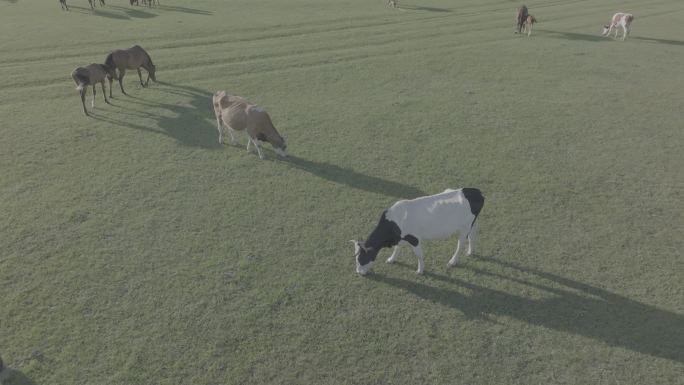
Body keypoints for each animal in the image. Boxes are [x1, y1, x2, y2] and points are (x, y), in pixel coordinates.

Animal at [352, 188, 486, 274]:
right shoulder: (401, 237)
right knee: (473, 235)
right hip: (472, 223)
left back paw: (453, 261)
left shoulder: (414, 239)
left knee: (461, 243)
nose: (358, 272)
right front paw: (391, 259)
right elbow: (397, 248)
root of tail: (476, 192)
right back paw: (470, 252)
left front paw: (420, 270)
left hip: (464, 228)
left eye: (361, 259)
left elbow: (418, 255)